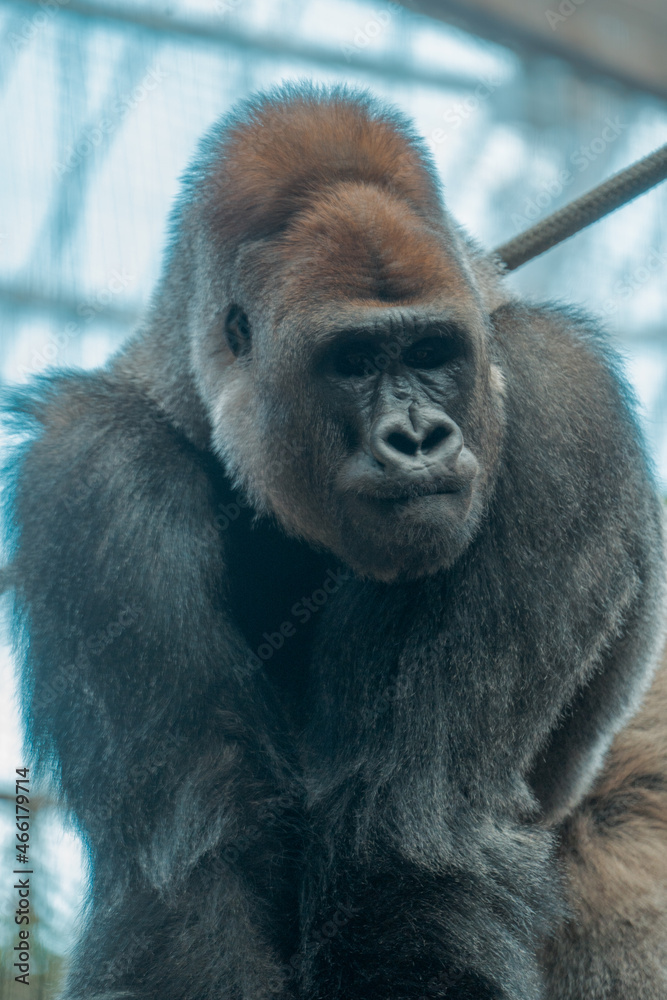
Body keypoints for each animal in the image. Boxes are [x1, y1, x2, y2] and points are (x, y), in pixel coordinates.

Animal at [2, 82, 665, 1000]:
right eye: (352, 361)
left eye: (430, 351)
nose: (418, 439)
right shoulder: (88, 467)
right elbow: (196, 869)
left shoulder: (559, 393)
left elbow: (415, 834)